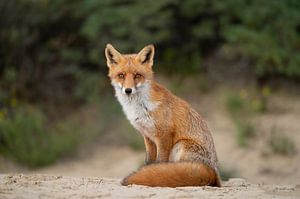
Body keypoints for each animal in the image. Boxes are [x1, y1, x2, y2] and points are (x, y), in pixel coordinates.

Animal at [105, 43, 220, 187]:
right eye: (121, 75)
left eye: (137, 75)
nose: (128, 90)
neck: (141, 107)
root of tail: (214, 174)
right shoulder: (147, 136)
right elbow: (149, 162)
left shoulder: (164, 135)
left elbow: (159, 163)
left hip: (180, 145)